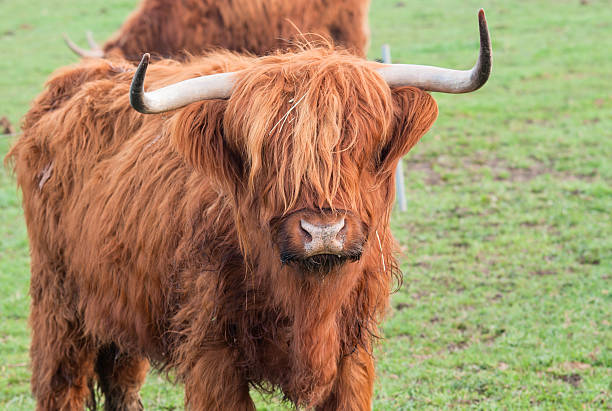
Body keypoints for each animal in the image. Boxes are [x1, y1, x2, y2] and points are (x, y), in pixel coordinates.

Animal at [9, 10, 490, 411]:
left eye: (362, 147)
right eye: (267, 155)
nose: (323, 232)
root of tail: (75, 80)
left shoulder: (352, 354)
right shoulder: (213, 354)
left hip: (120, 300)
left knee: (121, 379)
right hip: (57, 296)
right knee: (61, 381)